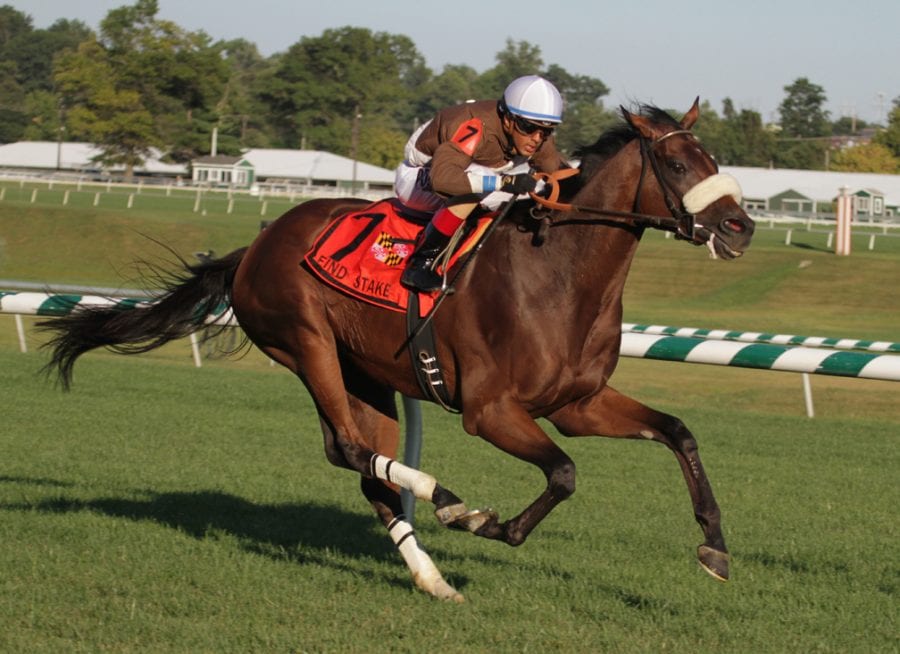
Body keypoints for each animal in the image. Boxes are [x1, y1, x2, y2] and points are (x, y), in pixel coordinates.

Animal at [38, 100, 752, 604]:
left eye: (713, 160)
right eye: (679, 166)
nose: (741, 226)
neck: (556, 273)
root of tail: (256, 245)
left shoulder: (578, 403)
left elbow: (678, 433)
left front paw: (715, 547)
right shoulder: (490, 411)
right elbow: (564, 473)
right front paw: (494, 527)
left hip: (368, 376)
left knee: (365, 469)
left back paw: (432, 577)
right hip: (307, 347)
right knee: (349, 450)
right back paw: (449, 501)